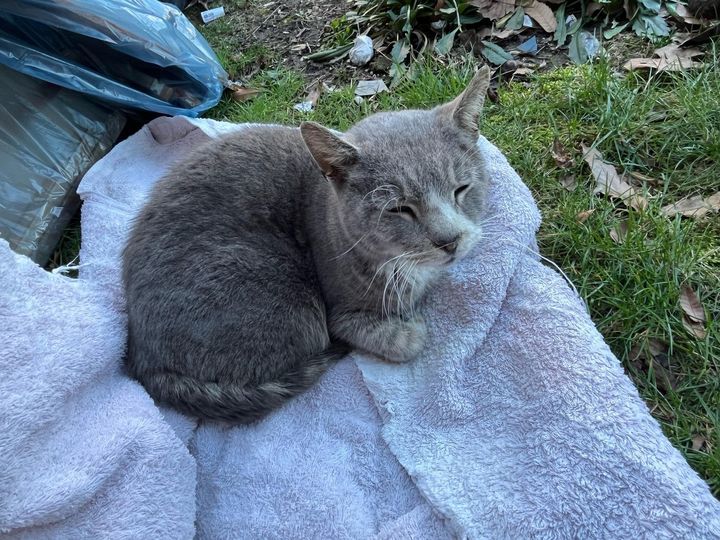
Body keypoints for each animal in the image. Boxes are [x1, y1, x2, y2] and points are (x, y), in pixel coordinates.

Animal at [125, 65, 496, 424]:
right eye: (399, 209)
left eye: (461, 189)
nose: (450, 241)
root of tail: (143, 362)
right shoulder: (341, 313)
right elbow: (404, 341)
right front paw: (410, 326)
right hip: (286, 298)